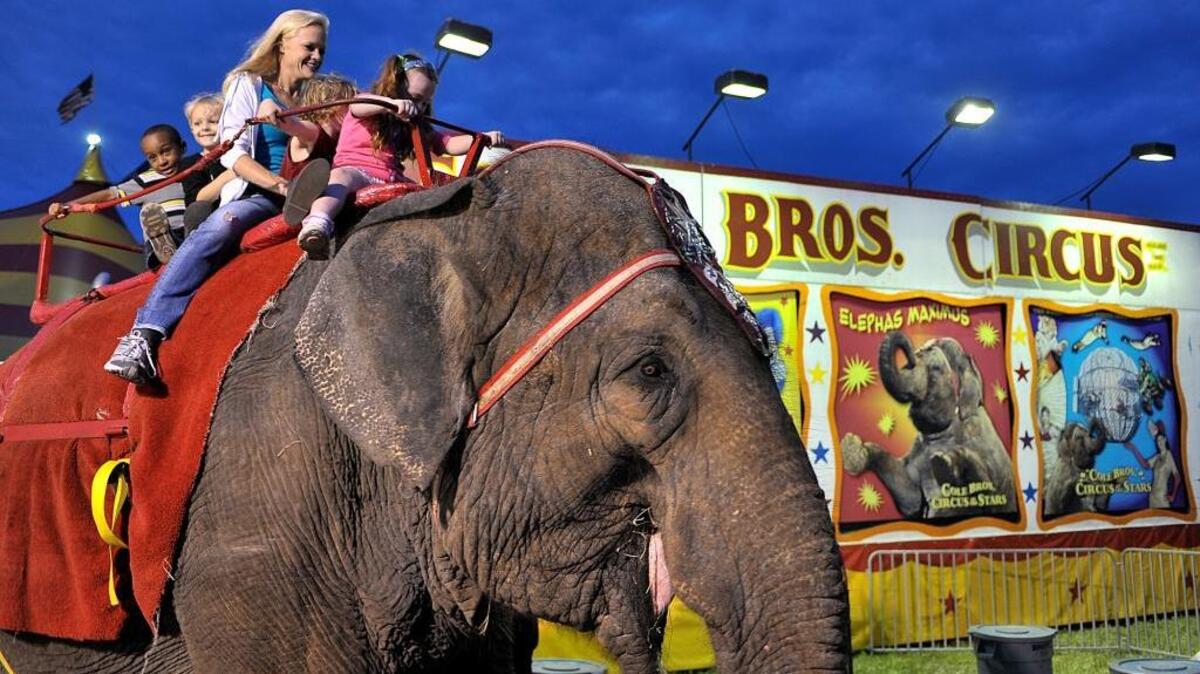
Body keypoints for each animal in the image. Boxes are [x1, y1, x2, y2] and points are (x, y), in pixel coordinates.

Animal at [841, 331, 1017, 519]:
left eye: (936, 369)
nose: (913, 352)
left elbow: (985, 492)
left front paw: (944, 462)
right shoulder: (918, 451)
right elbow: (911, 499)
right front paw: (852, 447)